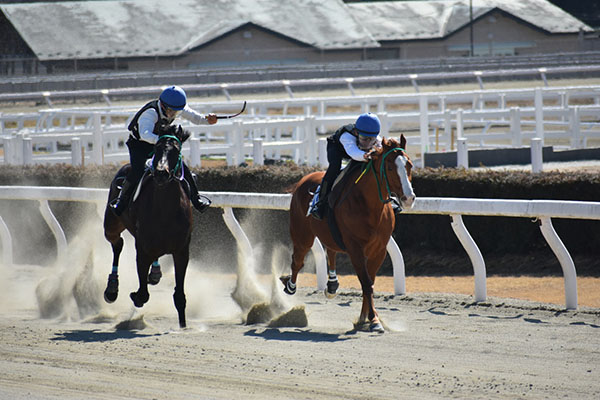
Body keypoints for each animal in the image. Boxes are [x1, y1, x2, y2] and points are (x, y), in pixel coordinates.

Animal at [102, 126, 193, 328]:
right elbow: (143, 294)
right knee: (117, 245)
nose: (161, 173)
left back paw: (155, 273)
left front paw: (183, 326)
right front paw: (135, 295)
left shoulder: (182, 251)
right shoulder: (142, 250)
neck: (165, 210)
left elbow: (180, 297)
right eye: (157, 148)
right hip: (111, 225)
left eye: (176, 150)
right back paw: (112, 288)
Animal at [281, 135, 415, 333]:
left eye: (409, 165)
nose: (409, 198)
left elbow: (370, 282)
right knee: (297, 260)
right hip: (302, 234)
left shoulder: (379, 250)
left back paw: (332, 285)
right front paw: (373, 319)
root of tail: (304, 178)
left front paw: (365, 318)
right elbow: (366, 283)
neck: (370, 207)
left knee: (331, 251)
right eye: (390, 167)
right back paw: (290, 285)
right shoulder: (355, 249)